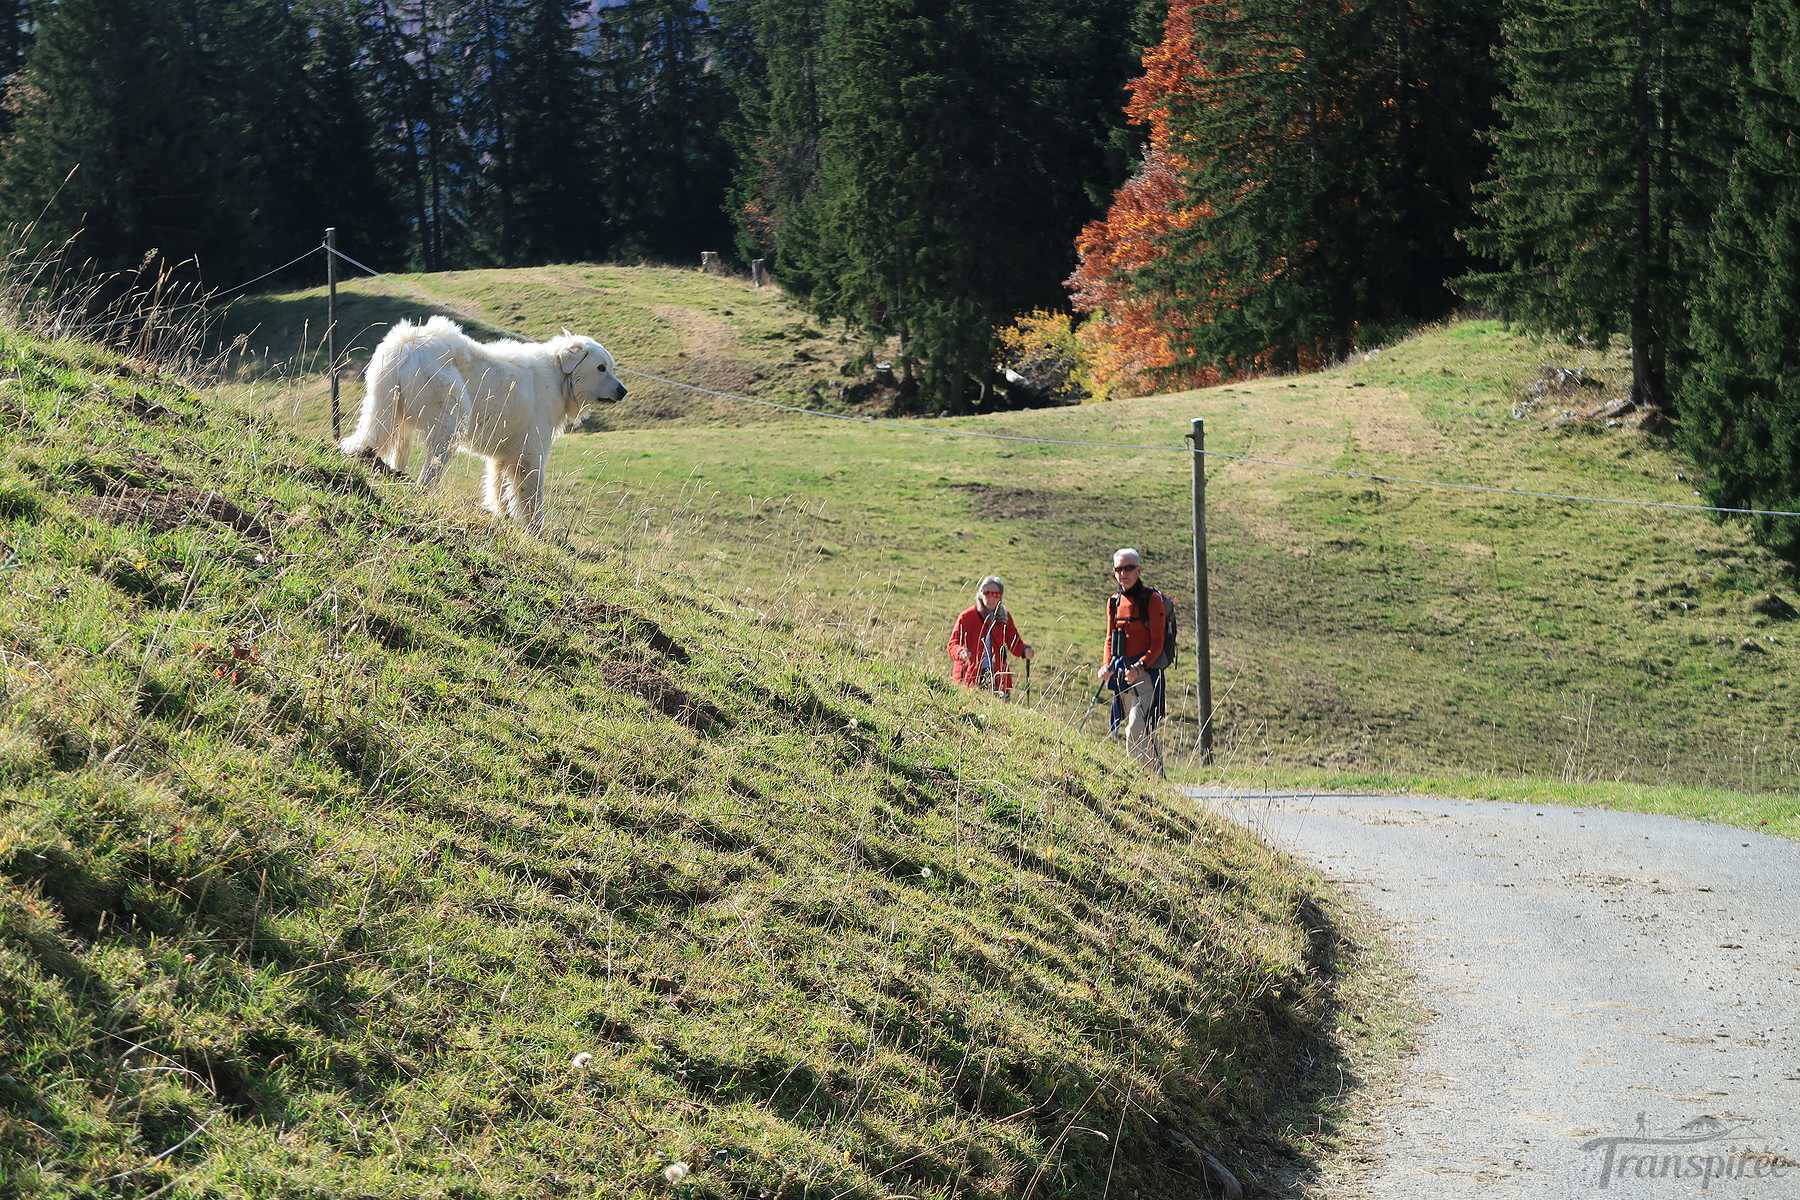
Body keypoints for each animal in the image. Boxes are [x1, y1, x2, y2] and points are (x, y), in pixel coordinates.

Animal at [340, 316, 627, 528]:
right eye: (601, 368)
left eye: (610, 367)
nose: (623, 391)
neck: (559, 377)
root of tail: (407, 343)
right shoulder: (532, 453)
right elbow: (532, 495)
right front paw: (535, 530)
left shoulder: (506, 454)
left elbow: (498, 485)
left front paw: (501, 514)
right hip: (450, 419)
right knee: (431, 469)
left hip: (393, 414)